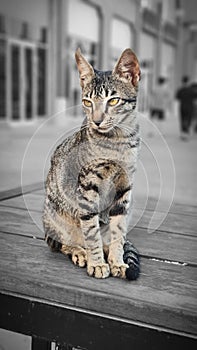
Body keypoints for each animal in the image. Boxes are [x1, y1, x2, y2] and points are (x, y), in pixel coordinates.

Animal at [43, 47, 141, 280]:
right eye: (87, 102)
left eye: (113, 101)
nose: (96, 121)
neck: (118, 142)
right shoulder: (87, 187)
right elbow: (90, 231)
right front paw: (97, 262)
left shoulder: (124, 187)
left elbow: (118, 231)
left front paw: (117, 261)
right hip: (53, 215)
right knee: (61, 243)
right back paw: (80, 252)